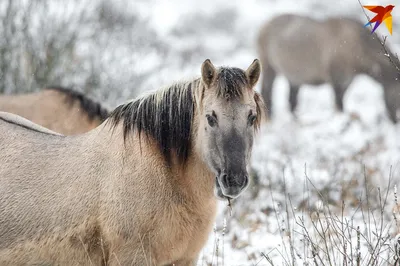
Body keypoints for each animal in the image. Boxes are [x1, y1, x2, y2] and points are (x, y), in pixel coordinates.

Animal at [258, 14, 400, 122]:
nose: (395, 119)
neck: (358, 47)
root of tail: (265, 25)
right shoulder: (338, 80)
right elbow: (339, 104)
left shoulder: (347, 81)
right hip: (269, 68)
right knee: (267, 92)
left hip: (294, 78)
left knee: (292, 100)